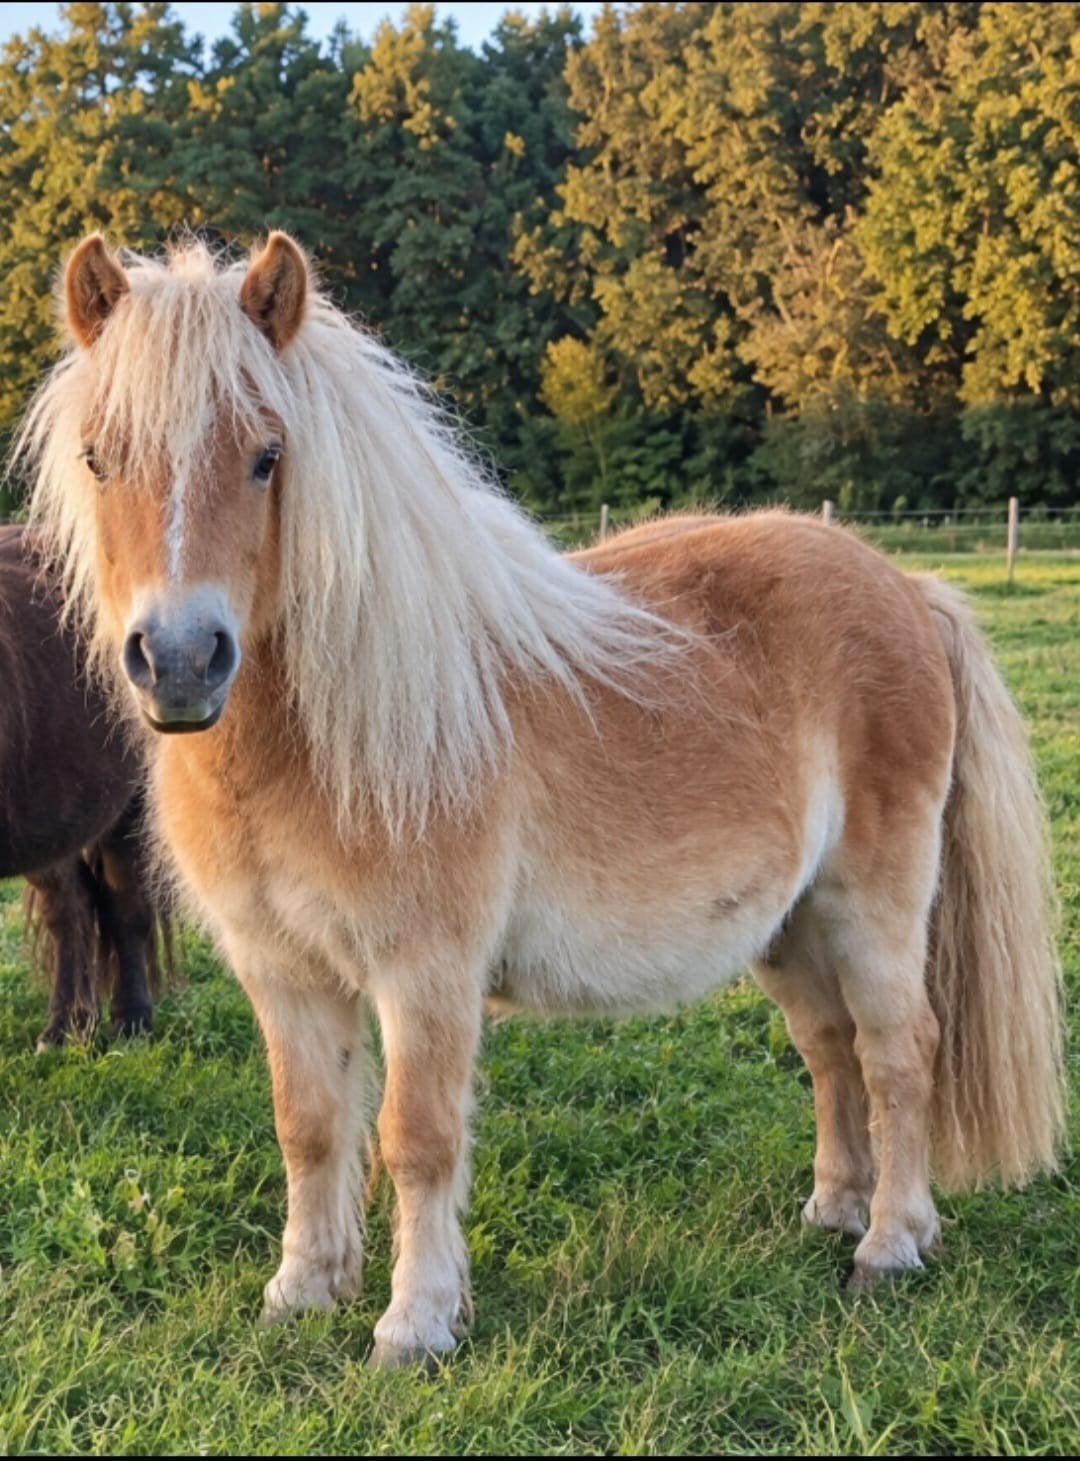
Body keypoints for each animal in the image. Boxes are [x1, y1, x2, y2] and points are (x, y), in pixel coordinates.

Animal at [17, 231, 1064, 1369]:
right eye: (97, 458)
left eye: (265, 456)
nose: (178, 661)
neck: (335, 737)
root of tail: (907, 588)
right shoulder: (284, 973)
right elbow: (309, 1127)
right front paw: (302, 1290)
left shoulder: (427, 975)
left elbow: (416, 1137)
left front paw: (414, 1324)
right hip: (787, 926)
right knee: (831, 1051)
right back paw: (834, 1210)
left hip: (872, 904)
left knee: (899, 1051)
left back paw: (890, 1245)